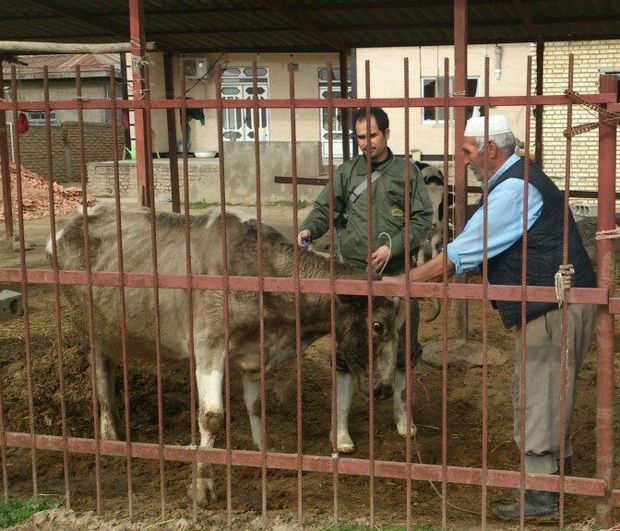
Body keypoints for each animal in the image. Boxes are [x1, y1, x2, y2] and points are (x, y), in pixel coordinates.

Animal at [49, 205, 406, 508]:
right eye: (377, 325)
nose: (385, 388)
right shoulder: (209, 344)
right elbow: (211, 418)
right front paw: (202, 486)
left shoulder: (253, 355)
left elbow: (257, 406)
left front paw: (266, 457)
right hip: (90, 325)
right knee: (100, 373)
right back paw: (110, 436)